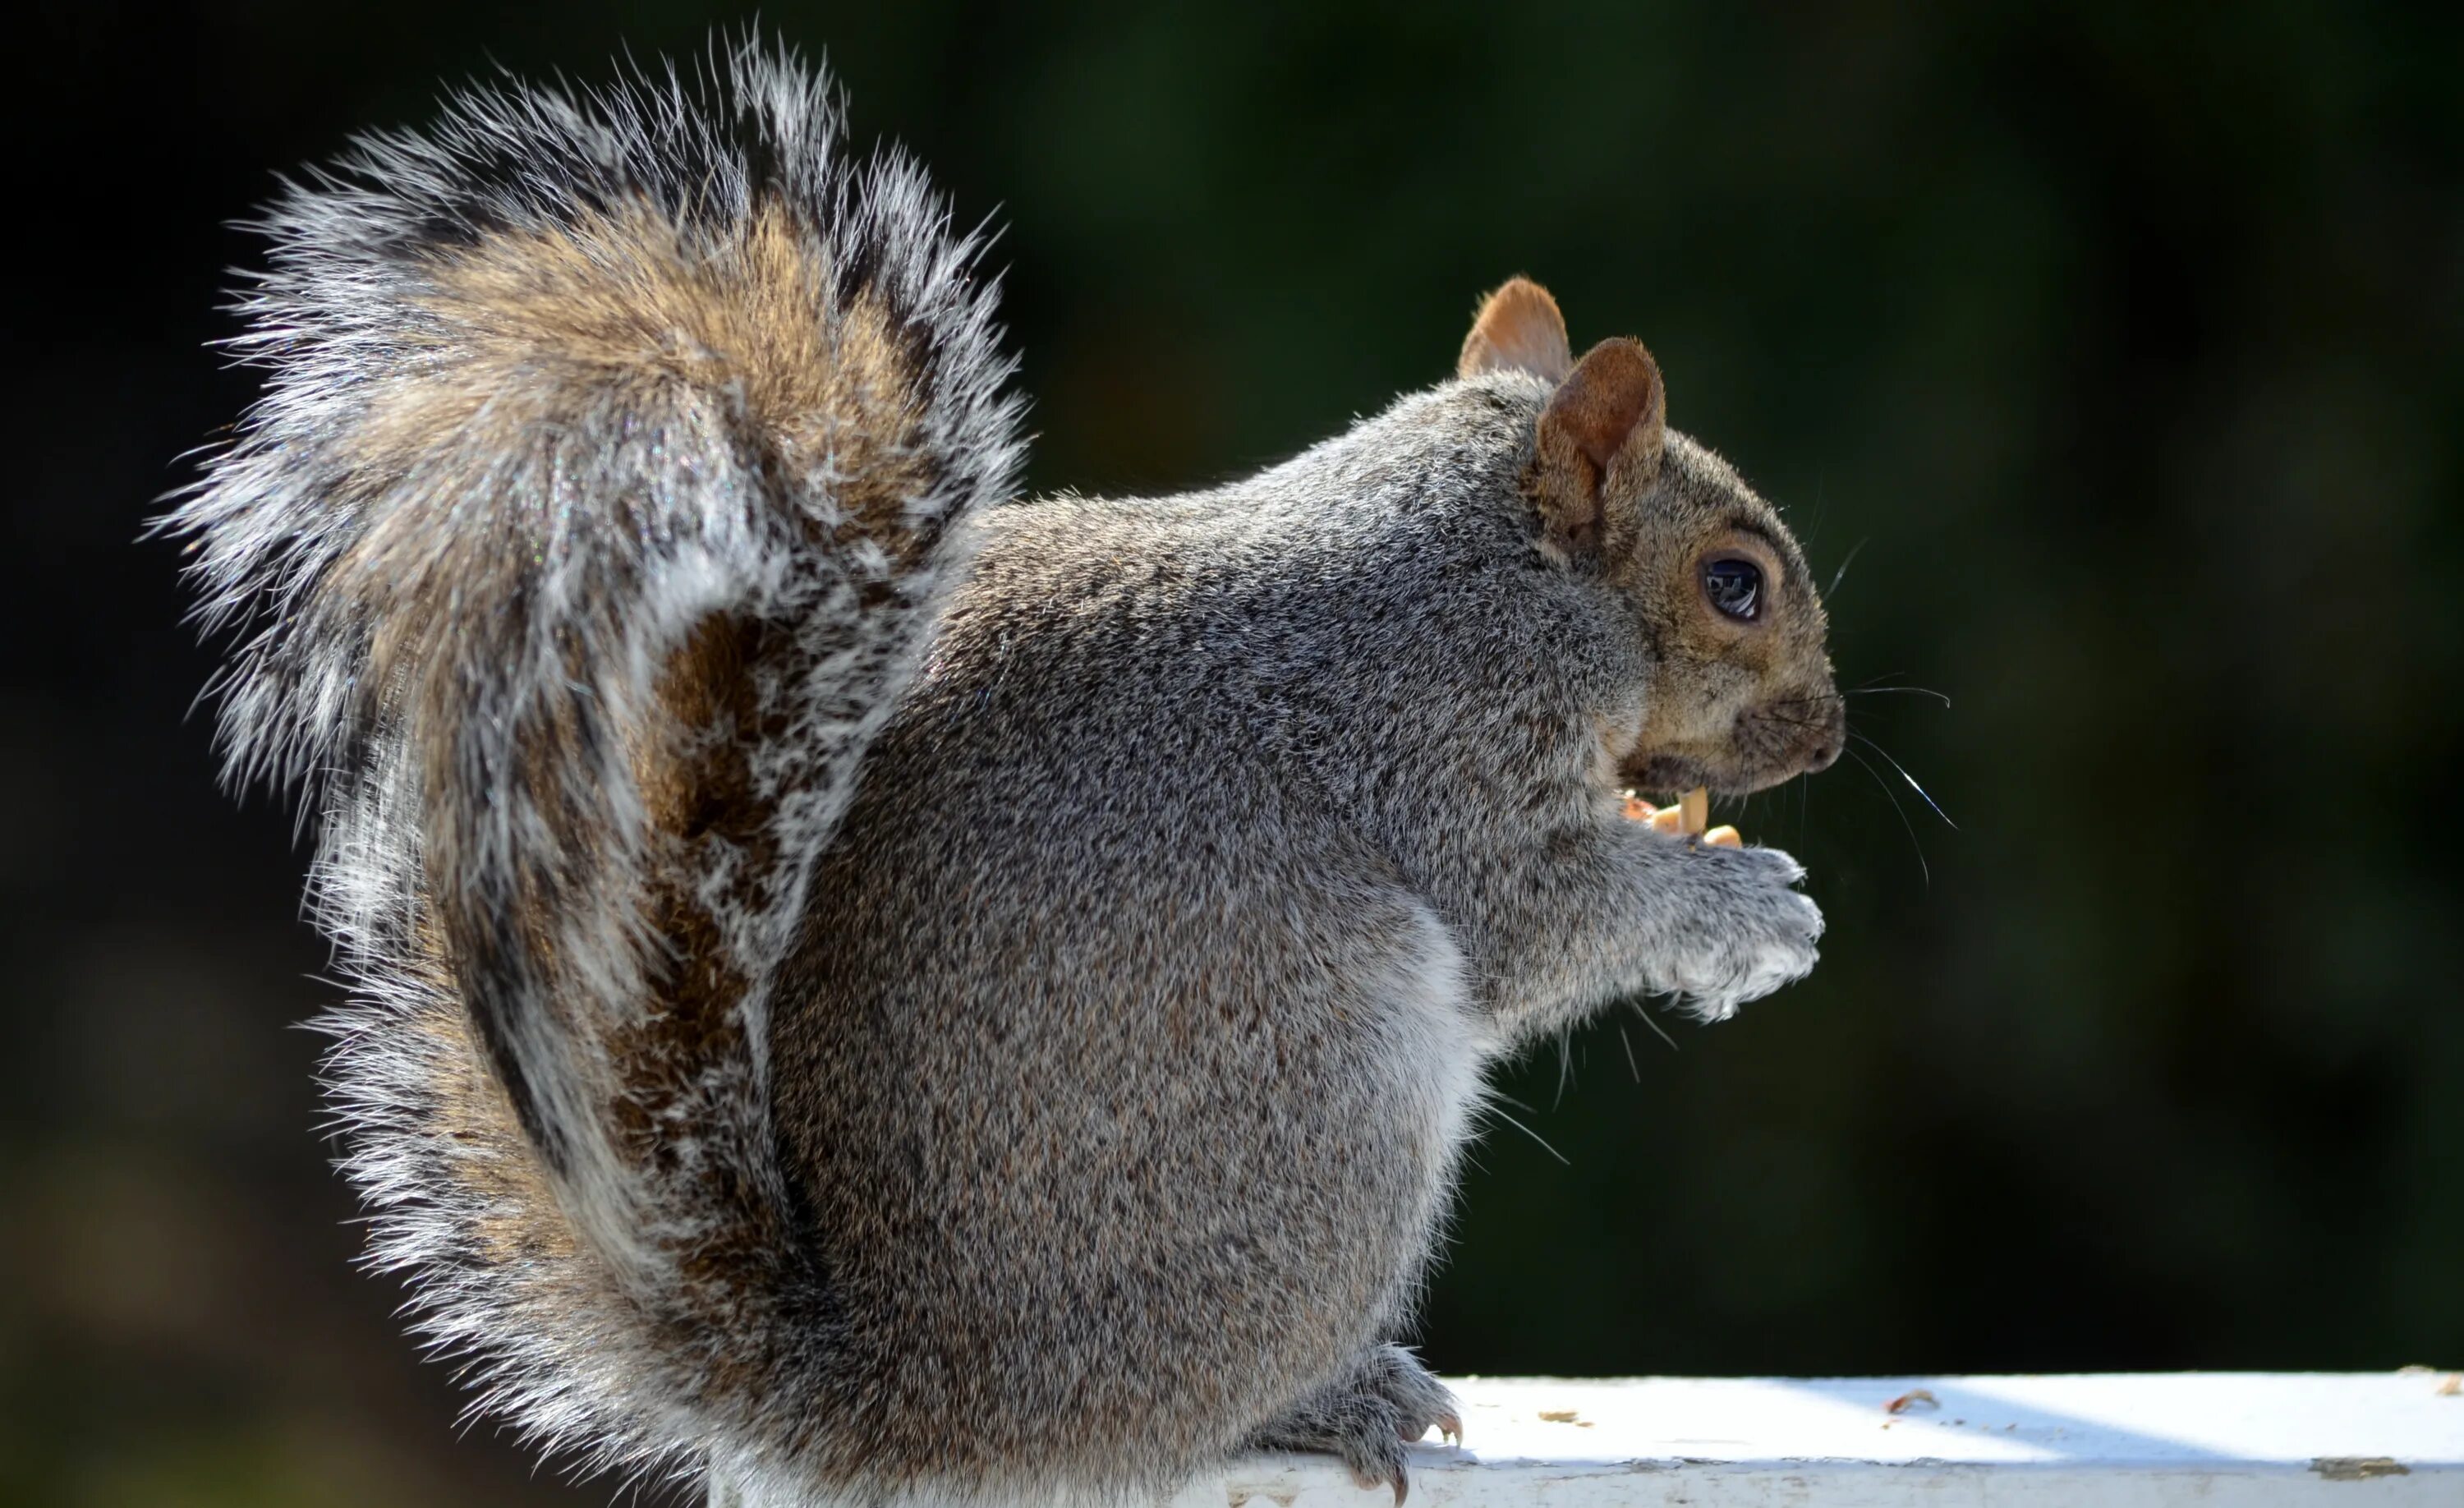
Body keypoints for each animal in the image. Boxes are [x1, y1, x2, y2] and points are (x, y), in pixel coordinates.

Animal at [163, 41, 1843, 1508]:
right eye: (1735, 584)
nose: (1830, 737)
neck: (1487, 569)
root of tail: (913, 1398)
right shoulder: (1429, 742)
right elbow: (1534, 915)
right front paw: (1741, 911)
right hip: (1322, 1121)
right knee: (1175, 1414)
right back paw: (1333, 1393)